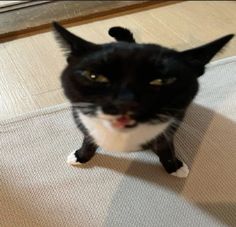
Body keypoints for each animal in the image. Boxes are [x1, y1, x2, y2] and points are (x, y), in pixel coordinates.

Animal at [52, 21, 234, 177]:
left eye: (162, 81)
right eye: (94, 76)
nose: (125, 102)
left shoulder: (167, 130)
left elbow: (166, 148)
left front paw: (174, 166)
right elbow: (88, 140)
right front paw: (81, 156)